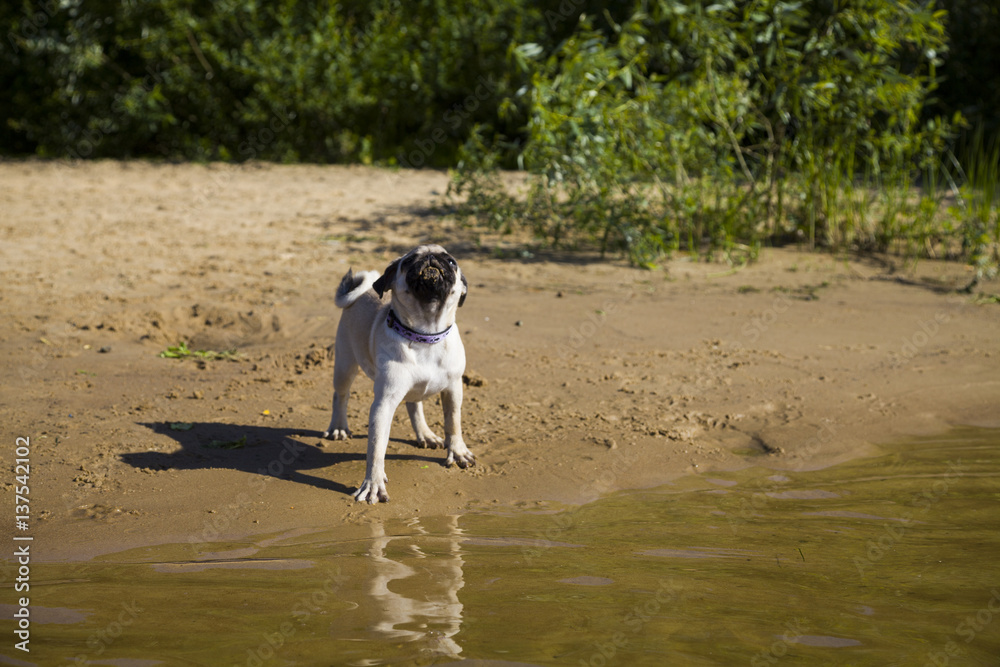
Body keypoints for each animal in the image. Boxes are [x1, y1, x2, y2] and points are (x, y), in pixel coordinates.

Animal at [322, 248, 474, 504]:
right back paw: (339, 428)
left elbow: (453, 423)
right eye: (409, 261)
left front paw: (458, 451)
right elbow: (376, 447)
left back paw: (425, 434)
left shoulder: (453, 389)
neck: (425, 334)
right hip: (345, 365)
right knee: (340, 396)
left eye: (451, 261)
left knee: (414, 405)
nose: (431, 257)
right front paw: (373, 484)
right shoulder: (383, 403)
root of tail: (362, 293)